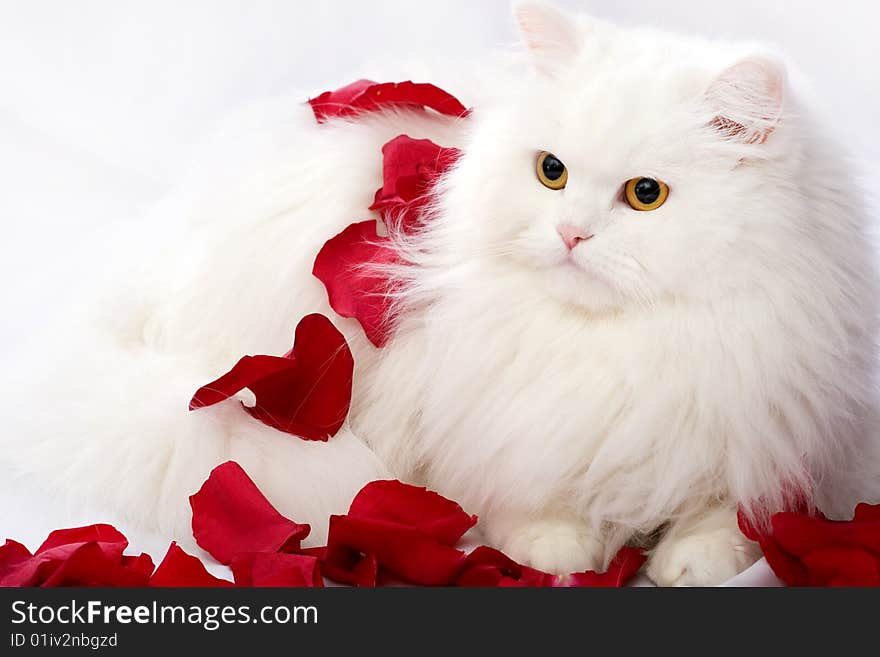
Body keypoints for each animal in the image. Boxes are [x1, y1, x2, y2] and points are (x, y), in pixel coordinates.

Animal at [3, 0, 876, 584]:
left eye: (646, 195)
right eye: (551, 172)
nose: (572, 234)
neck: (614, 346)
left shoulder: (764, 417)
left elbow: (727, 507)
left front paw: (697, 556)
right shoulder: (495, 417)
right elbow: (530, 492)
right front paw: (559, 547)